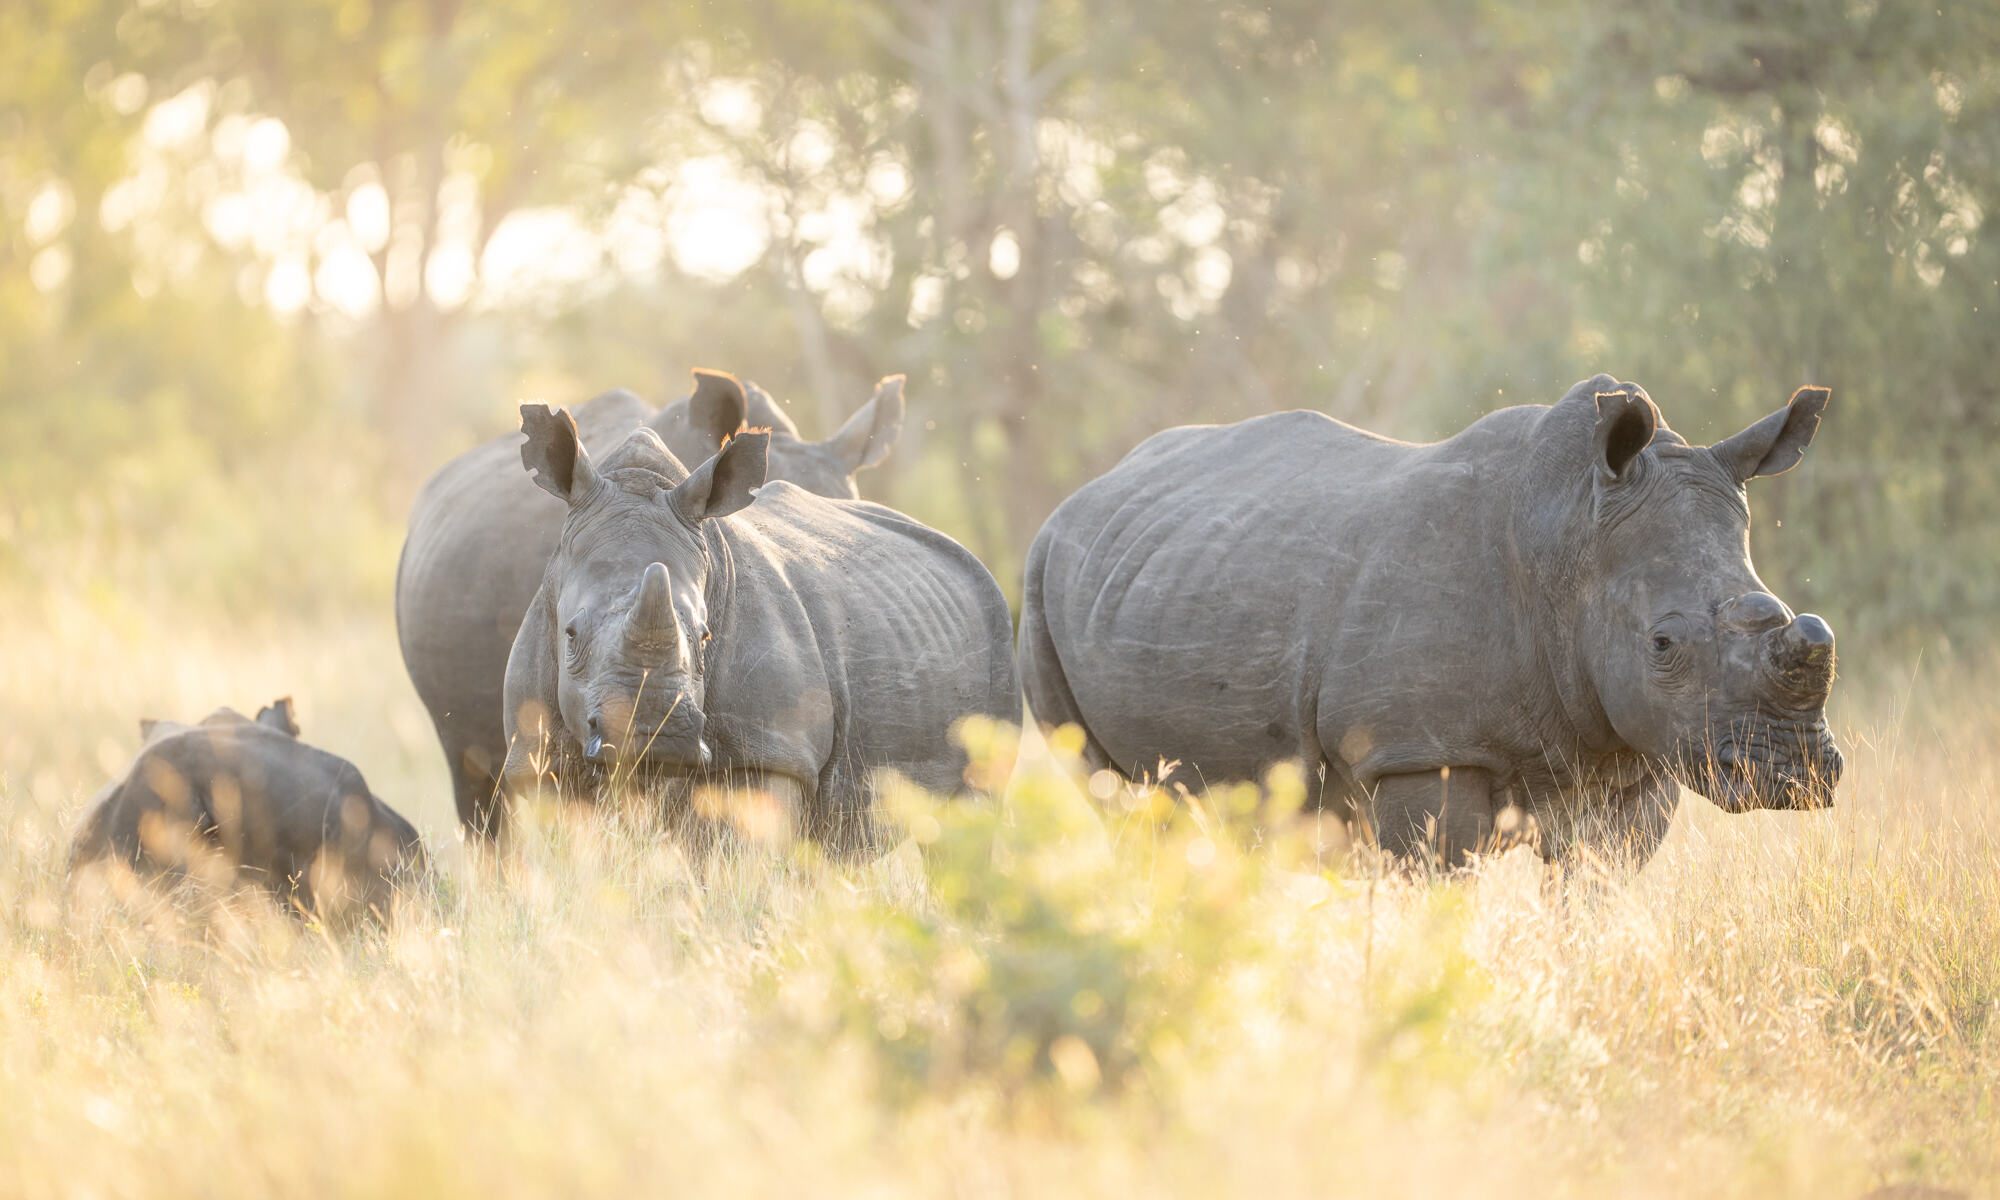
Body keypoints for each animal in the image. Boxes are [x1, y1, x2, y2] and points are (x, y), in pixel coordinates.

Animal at [1032, 376, 1840, 872]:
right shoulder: (1423, 749)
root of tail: (1085, 493)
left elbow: (1591, 892)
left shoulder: (1639, 749)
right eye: (1663, 643)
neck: (1572, 538)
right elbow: (1436, 882)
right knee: (1110, 797)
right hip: (1042, 579)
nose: (1795, 774)